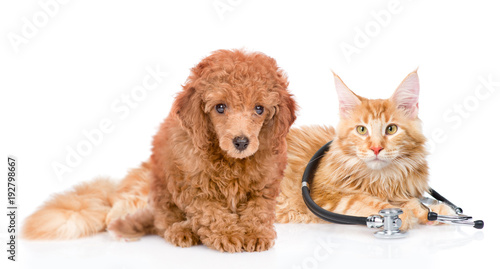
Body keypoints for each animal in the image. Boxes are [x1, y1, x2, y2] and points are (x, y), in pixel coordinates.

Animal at [22, 49, 296, 252]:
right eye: (220, 107)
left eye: (259, 109)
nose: (241, 142)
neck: (229, 159)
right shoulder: (194, 186)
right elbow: (211, 214)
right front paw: (229, 235)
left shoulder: (265, 183)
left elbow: (257, 211)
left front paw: (255, 234)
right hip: (161, 190)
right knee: (162, 222)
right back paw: (181, 230)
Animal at [276, 69, 456, 228]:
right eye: (361, 130)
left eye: (391, 129)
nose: (376, 148)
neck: (381, 179)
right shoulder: (326, 195)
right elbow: (361, 200)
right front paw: (399, 216)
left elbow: (412, 202)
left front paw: (434, 211)